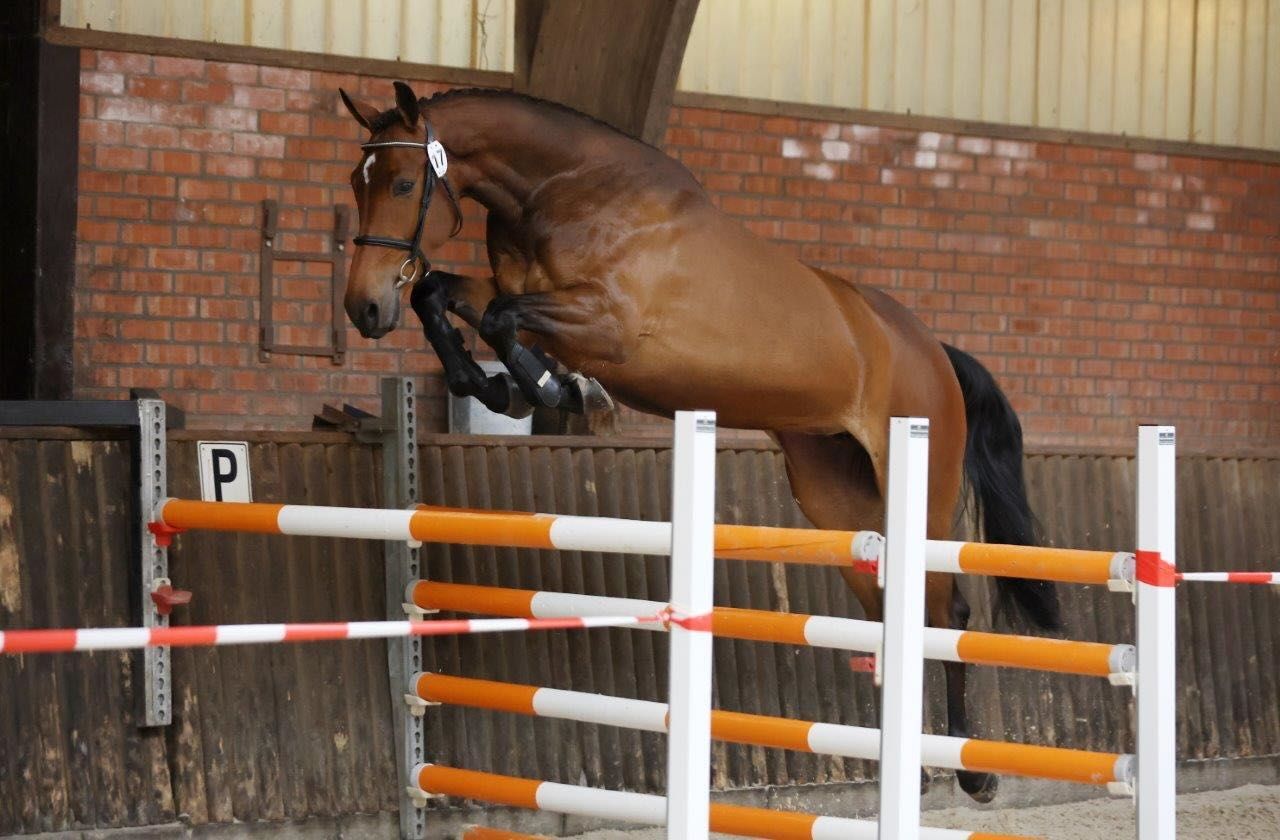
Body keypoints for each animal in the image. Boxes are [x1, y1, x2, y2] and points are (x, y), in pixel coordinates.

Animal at [338, 81, 1061, 802]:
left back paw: (972, 774)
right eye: (356, 181)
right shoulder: (529, 295)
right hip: (837, 495)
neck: (565, 192)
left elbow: (497, 318)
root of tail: (934, 350)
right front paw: (495, 384)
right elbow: (443, 294)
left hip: (919, 484)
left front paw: (554, 389)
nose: (363, 309)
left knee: (946, 612)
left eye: (404, 183)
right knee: (889, 608)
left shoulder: (607, 323)